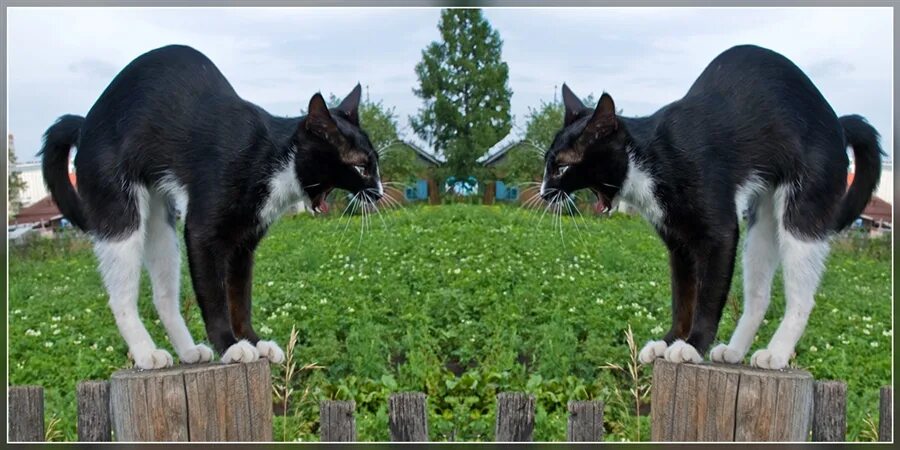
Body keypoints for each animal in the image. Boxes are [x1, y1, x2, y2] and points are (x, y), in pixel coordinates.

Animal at [41, 44, 384, 370]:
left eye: (375, 163)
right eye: (361, 166)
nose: (380, 193)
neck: (270, 158)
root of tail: (84, 125)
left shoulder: (244, 244)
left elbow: (239, 297)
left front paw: (253, 340)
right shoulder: (202, 232)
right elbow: (214, 296)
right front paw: (231, 346)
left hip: (161, 226)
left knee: (164, 297)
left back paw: (189, 351)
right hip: (120, 212)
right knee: (120, 297)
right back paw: (146, 354)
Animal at [536, 44, 884, 370]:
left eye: (562, 167)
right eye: (547, 163)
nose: (542, 192)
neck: (651, 159)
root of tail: (838, 123)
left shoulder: (720, 233)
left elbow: (708, 295)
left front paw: (692, 346)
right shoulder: (678, 244)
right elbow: (683, 297)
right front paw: (670, 340)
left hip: (802, 213)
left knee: (803, 297)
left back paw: (776, 353)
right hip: (761, 226)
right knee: (758, 297)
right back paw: (734, 351)